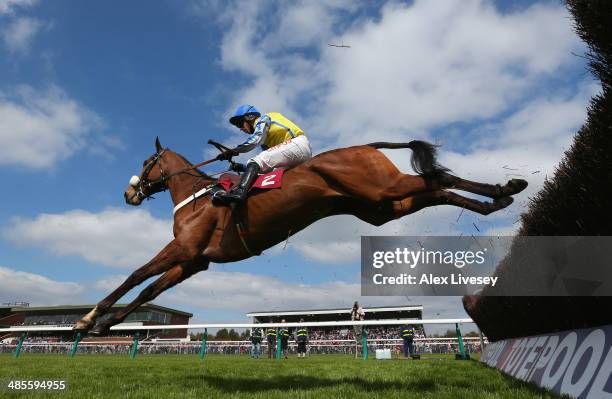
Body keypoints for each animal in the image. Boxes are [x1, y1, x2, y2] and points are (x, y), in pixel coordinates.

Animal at [75, 138, 524, 334]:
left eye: (146, 162)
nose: (129, 193)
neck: (198, 197)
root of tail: (365, 144)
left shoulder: (182, 248)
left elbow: (135, 276)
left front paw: (89, 319)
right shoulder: (193, 261)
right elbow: (150, 290)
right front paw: (106, 324)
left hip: (384, 189)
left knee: (437, 179)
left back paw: (506, 188)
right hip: (381, 207)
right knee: (437, 190)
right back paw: (501, 197)